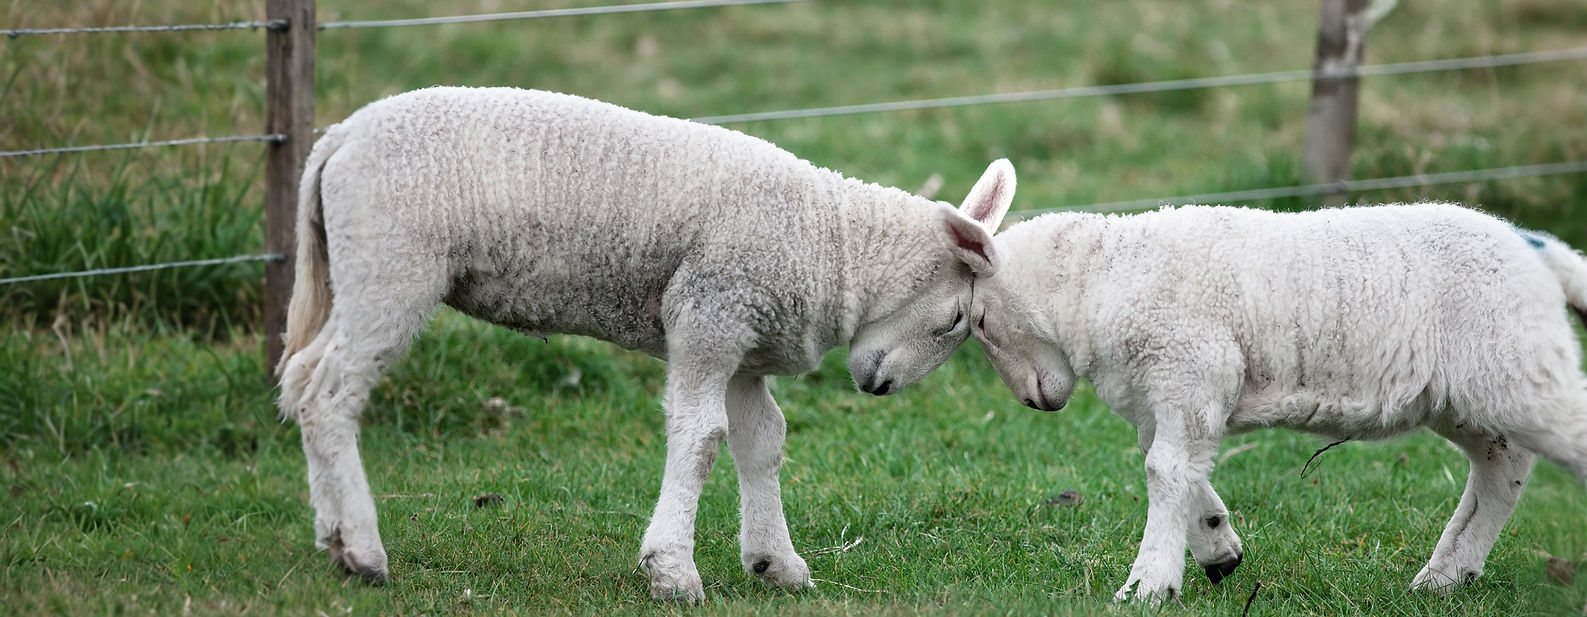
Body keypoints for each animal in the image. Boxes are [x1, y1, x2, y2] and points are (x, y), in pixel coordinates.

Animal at [273, 86, 1015, 602]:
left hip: (357, 273)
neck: (831, 243)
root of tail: (337, 138)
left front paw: (774, 562)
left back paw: (331, 537)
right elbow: (701, 437)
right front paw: (673, 571)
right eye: (956, 319)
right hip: (392, 267)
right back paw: (364, 553)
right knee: (329, 395)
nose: (877, 386)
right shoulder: (709, 314)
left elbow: (762, 441)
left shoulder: (745, 344)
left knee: (303, 379)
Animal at [953, 203, 1587, 603]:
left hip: (1518, 366)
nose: (1036, 402)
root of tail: (1534, 247)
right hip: (1468, 393)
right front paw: (1215, 545)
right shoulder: (1167, 398)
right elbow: (1177, 468)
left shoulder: (1193, 369)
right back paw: (1447, 573)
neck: (1103, 279)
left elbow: (1164, 471)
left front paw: (1147, 585)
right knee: (1502, 466)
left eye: (978, 320)